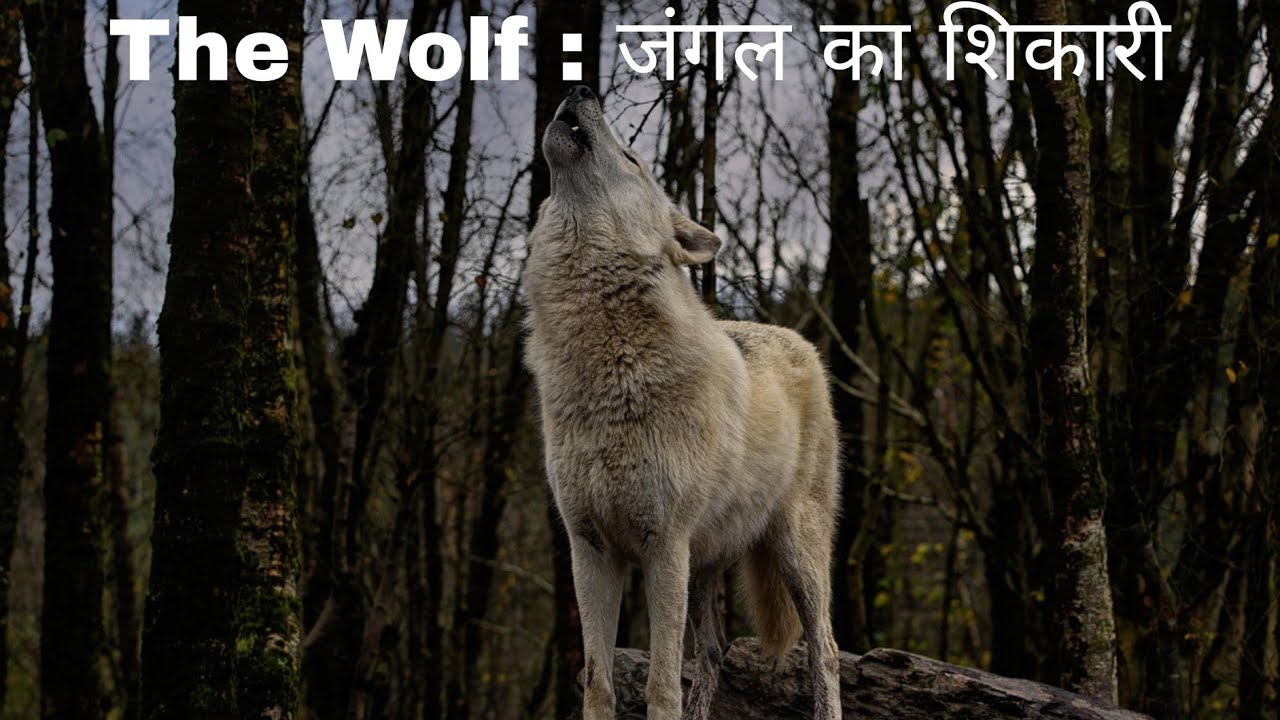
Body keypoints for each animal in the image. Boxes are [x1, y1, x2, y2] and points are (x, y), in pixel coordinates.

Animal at [524, 85, 842, 720]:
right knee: (715, 652)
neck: (609, 369)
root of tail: (800, 340)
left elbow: (662, 683)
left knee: (825, 649)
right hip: (706, 563)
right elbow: (599, 681)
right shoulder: (589, 548)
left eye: (632, 159)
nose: (580, 88)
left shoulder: (663, 546)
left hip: (794, 550)